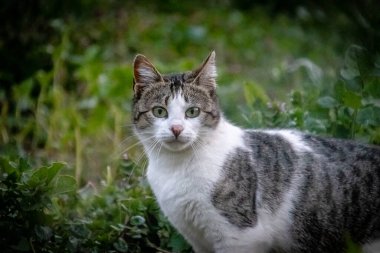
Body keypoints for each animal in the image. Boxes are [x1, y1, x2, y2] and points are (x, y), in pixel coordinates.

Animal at [131, 52, 380, 253]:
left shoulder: (240, 236)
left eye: (192, 112)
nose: (176, 128)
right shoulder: (196, 236)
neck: (176, 166)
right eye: (159, 111)